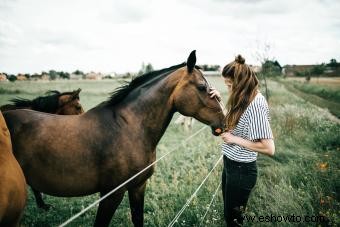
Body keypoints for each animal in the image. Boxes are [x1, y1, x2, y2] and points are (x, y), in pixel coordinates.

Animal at [3, 50, 226, 226]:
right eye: (202, 87)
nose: (224, 122)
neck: (127, 128)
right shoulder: (111, 194)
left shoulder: (138, 186)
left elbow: (138, 218)